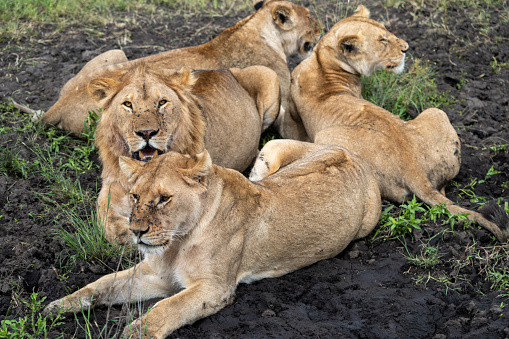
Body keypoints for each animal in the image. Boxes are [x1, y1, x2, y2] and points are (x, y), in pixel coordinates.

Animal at [44, 141, 380, 338]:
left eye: (164, 199)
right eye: (135, 196)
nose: (136, 231)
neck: (176, 243)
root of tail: (348, 151)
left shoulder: (214, 288)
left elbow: (168, 308)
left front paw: (134, 332)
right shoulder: (157, 275)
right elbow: (102, 284)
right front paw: (59, 306)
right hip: (269, 154)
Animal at [89, 61, 280, 244]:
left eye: (162, 102)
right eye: (128, 104)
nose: (147, 132)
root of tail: (221, 69)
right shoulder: (110, 190)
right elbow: (110, 224)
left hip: (268, 74)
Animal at [278, 5, 508, 242]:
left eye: (386, 32)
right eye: (382, 39)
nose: (406, 48)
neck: (323, 60)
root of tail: (413, 169)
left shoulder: (292, 120)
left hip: (325, 136)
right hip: (436, 112)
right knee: (442, 188)